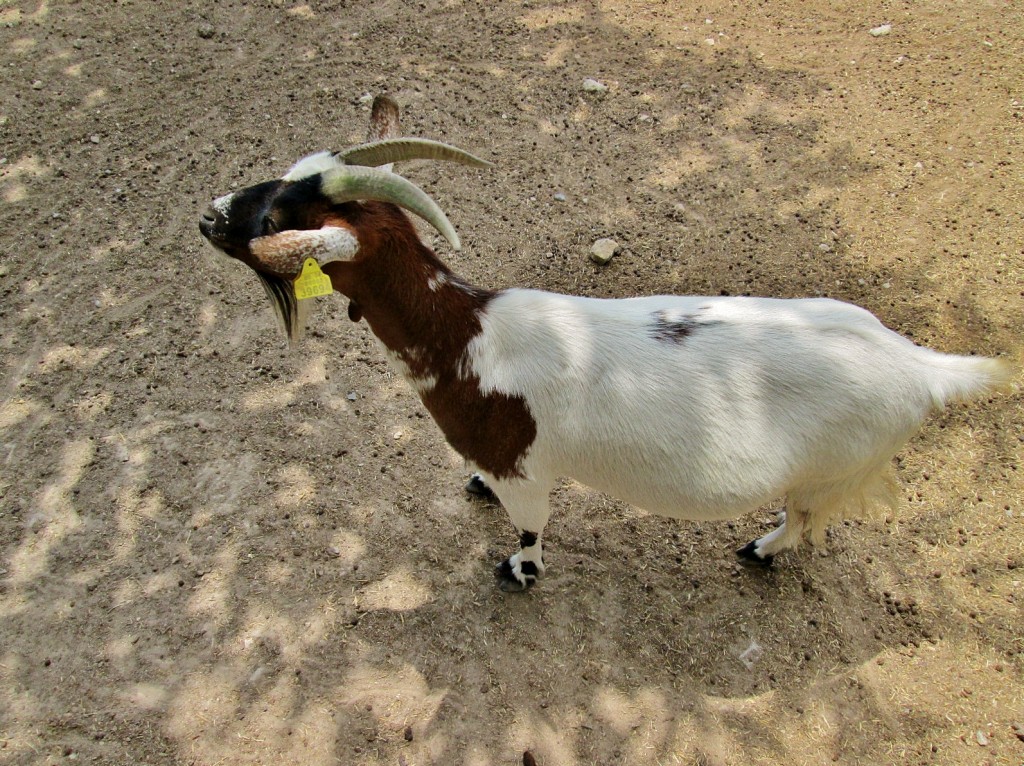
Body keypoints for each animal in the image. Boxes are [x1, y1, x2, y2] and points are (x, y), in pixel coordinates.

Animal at [195, 95, 1011, 593]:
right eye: (280, 182)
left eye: (280, 217)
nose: (207, 216)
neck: (465, 337)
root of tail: (924, 368)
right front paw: (474, 488)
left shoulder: (526, 469)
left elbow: (530, 528)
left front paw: (519, 572)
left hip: (830, 473)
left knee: (804, 523)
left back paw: (759, 550)